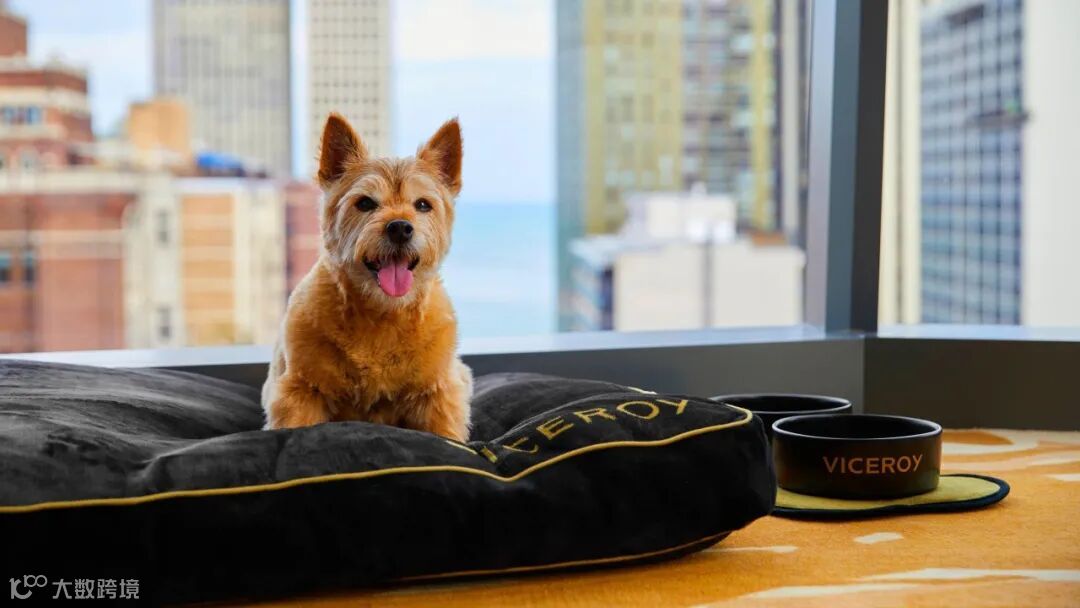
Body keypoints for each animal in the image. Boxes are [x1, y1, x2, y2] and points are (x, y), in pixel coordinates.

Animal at [262, 113, 472, 441]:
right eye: (364, 203)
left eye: (423, 204)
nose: (400, 227)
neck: (383, 313)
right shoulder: (300, 390)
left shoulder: (437, 394)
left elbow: (445, 432)